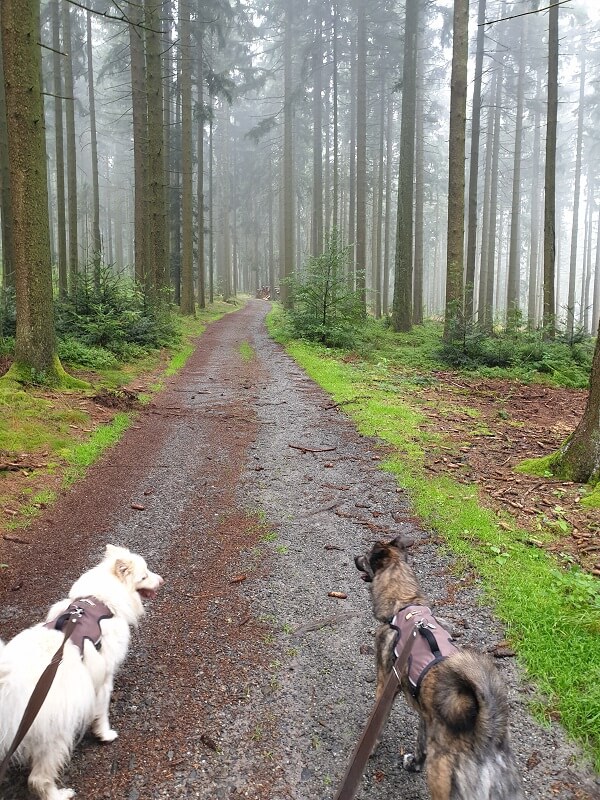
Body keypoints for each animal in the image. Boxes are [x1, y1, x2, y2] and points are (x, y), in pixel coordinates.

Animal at [0, 544, 164, 800]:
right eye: (145, 576)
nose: (162, 580)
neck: (103, 602)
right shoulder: (104, 679)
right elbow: (102, 713)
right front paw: (104, 735)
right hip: (57, 733)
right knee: (38, 778)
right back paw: (60, 794)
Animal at [354, 536, 524, 800]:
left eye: (365, 556)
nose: (354, 558)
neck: (405, 603)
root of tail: (485, 737)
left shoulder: (385, 686)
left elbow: (377, 726)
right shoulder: (427, 718)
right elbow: (421, 745)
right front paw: (414, 764)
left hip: (442, 778)